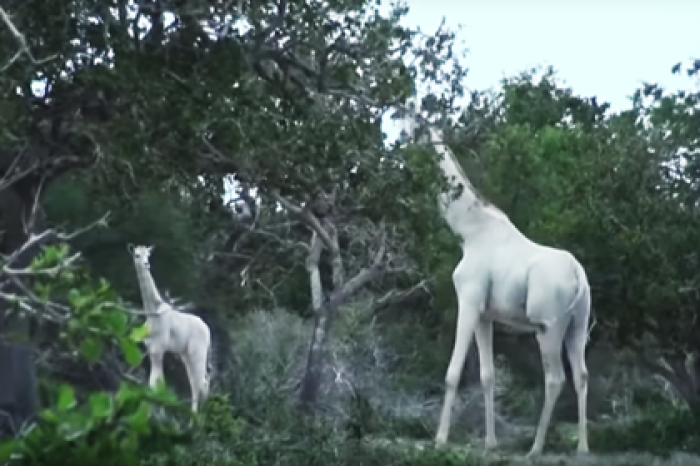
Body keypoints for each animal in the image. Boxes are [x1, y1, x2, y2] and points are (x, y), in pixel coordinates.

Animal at [128, 244, 211, 412]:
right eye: (137, 255)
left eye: (148, 255)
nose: (146, 264)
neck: (152, 313)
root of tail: (208, 330)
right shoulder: (150, 348)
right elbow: (153, 383)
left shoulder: (158, 348)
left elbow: (158, 383)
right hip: (186, 354)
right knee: (195, 383)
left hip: (198, 351)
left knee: (202, 382)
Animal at [400, 106, 592, 456]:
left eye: (410, 133)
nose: (399, 159)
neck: (469, 233)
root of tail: (579, 276)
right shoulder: (486, 315)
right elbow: (487, 376)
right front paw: (490, 443)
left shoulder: (468, 302)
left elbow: (452, 372)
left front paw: (440, 439)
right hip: (577, 325)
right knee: (581, 374)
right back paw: (582, 447)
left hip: (548, 326)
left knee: (555, 378)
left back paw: (535, 448)